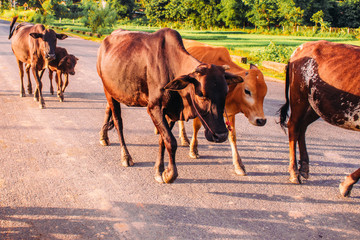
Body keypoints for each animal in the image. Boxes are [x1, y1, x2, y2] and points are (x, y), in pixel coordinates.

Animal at [95, 28, 243, 183]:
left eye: (226, 92)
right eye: (201, 94)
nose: (221, 135)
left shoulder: (172, 112)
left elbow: (163, 140)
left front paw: (159, 170)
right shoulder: (154, 108)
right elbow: (171, 142)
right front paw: (170, 174)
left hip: (113, 90)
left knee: (108, 111)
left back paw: (103, 136)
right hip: (107, 91)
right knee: (118, 122)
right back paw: (125, 156)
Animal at [180, 38, 268, 175]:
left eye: (265, 93)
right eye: (247, 91)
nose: (261, 120)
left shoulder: (229, 113)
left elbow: (232, 136)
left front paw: (239, 165)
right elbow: (196, 127)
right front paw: (193, 150)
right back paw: (183, 138)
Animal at [278, 39, 360, 197]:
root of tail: (301, 48)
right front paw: (346, 185)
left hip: (317, 104)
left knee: (302, 126)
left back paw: (304, 167)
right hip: (299, 96)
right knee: (294, 126)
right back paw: (294, 172)